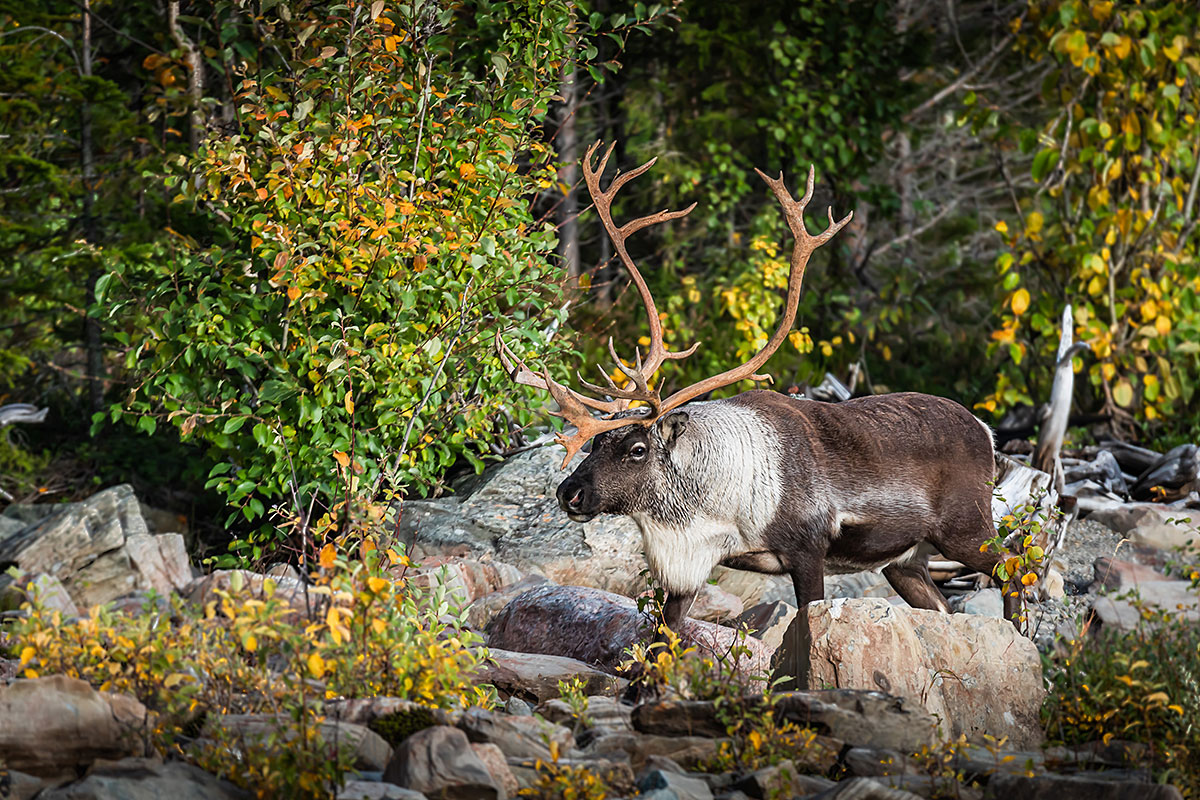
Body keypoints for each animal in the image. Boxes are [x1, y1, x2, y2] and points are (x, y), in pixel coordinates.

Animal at [496, 141, 1018, 644]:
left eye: (638, 448)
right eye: (596, 442)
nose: (569, 493)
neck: (711, 506)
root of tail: (987, 431)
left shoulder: (808, 550)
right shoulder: (692, 570)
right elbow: (659, 644)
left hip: (968, 528)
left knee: (1014, 567)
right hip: (905, 560)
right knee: (945, 605)